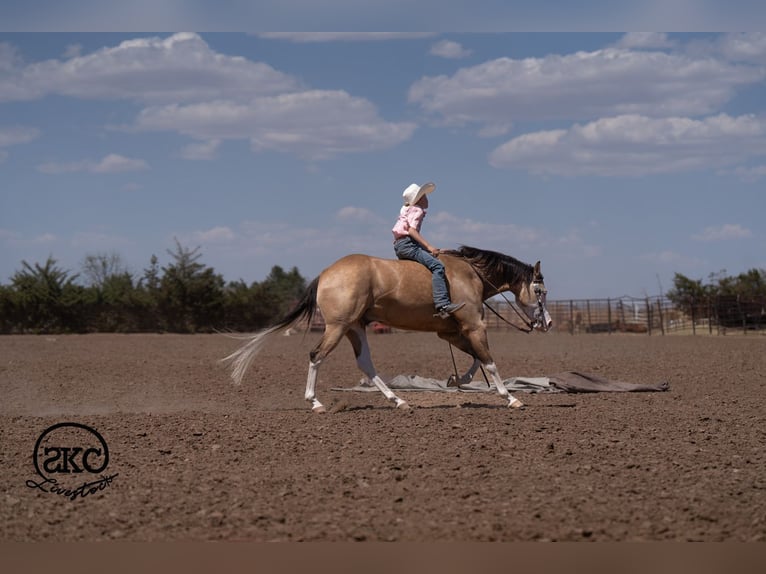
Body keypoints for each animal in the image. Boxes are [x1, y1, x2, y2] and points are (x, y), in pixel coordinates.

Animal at [222, 245, 552, 412]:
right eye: (540, 291)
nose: (547, 322)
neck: (470, 274)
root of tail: (326, 273)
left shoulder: (451, 331)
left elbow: (475, 358)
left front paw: (458, 380)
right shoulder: (473, 325)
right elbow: (489, 361)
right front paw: (510, 397)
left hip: (355, 328)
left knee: (366, 364)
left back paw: (399, 400)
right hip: (338, 327)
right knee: (316, 356)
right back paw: (315, 403)